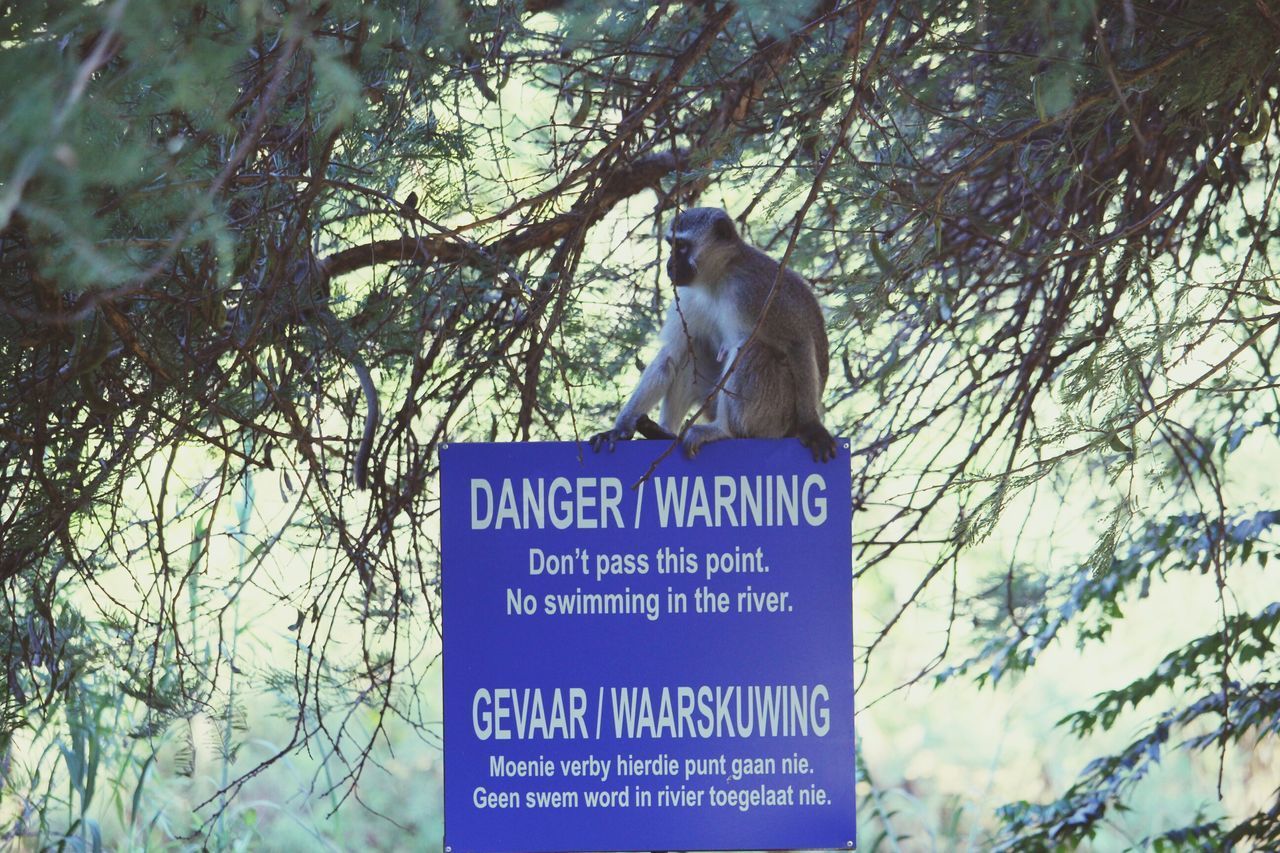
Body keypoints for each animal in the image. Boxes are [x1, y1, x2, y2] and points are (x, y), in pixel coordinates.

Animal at [591, 206, 839, 461]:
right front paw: (620, 429)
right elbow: (671, 354)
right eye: (671, 245)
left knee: (749, 348)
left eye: (682, 247)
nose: (670, 265)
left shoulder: (759, 289)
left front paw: (812, 427)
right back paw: (663, 433)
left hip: (776, 416)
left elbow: (797, 342)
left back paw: (723, 431)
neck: (717, 278)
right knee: (691, 352)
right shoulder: (687, 297)